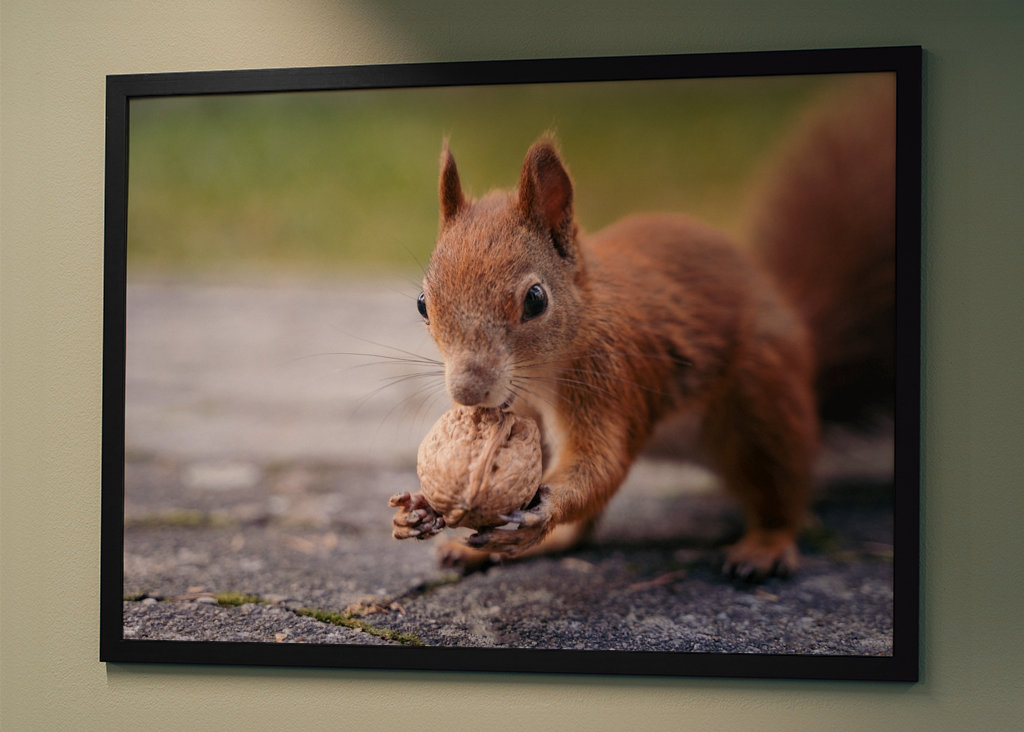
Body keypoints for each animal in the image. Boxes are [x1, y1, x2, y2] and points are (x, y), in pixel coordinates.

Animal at [392, 75, 896, 580]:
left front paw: (541, 511)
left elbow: (601, 463)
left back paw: (765, 547)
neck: (544, 372)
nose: (467, 392)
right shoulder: (524, 413)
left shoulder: (612, 379)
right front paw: (423, 507)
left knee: (781, 491)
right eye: (422, 304)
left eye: (536, 299)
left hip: (764, 402)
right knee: (582, 533)